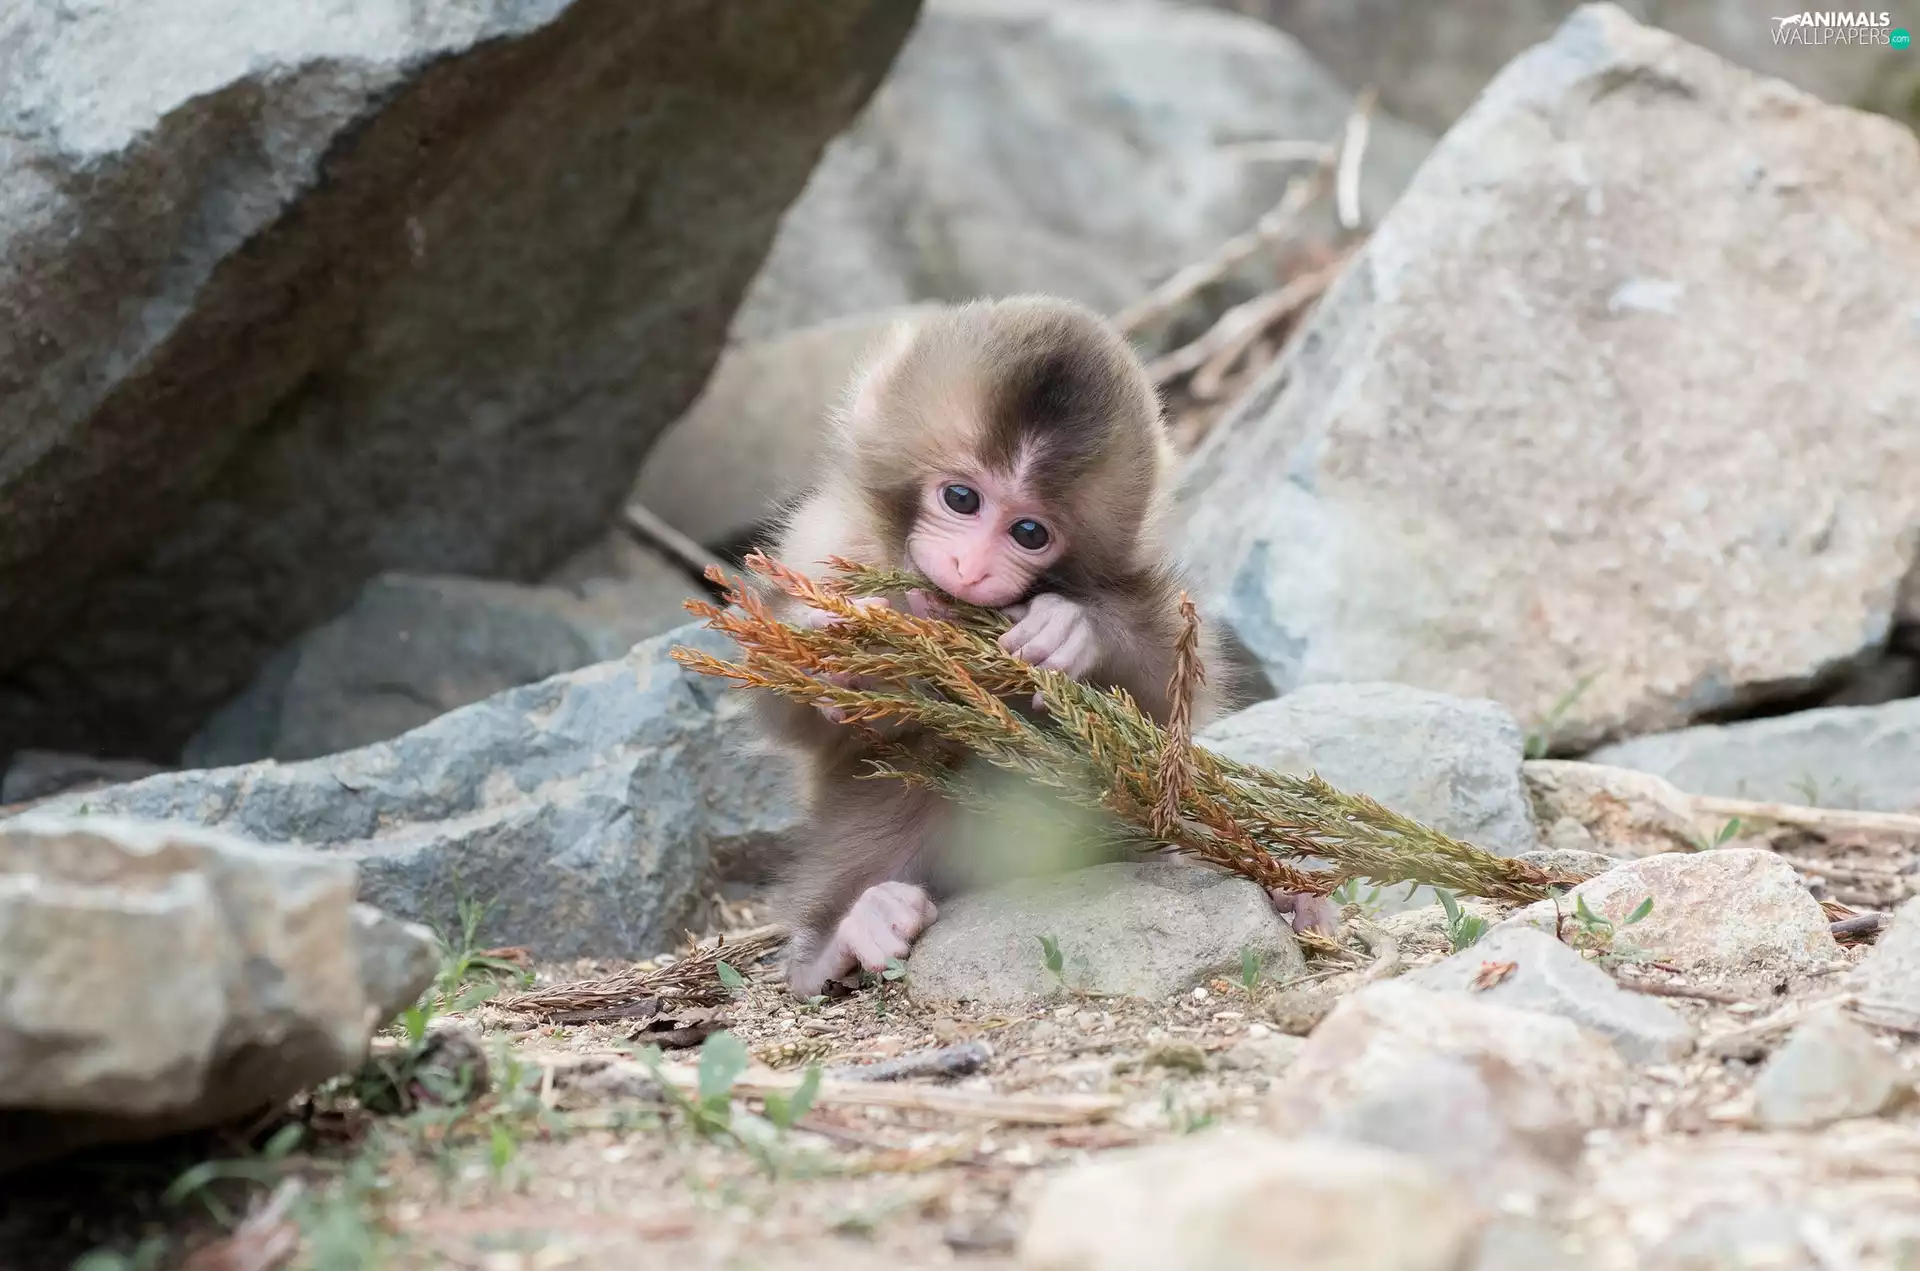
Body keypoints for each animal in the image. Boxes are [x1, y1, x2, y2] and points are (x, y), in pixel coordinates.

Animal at [748, 295, 1337, 997]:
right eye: (961, 498)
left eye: (1029, 532)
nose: (971, 567)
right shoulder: (826, 543)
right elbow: (791, 714)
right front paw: (832, 646)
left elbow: (1173, 697)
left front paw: (1071, 627)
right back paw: (844, 935)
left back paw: (1279, 890)